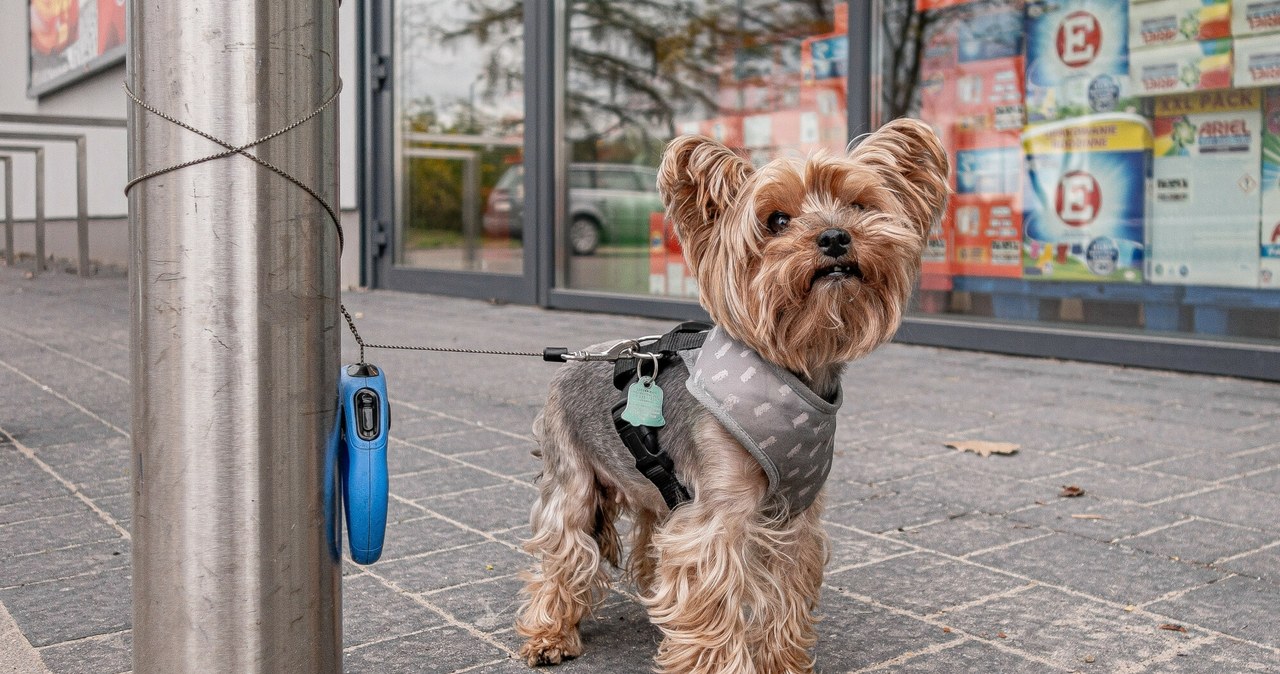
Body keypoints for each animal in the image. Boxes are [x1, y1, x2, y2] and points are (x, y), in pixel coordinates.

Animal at [514, 118, 947, 670]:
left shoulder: (793, 518)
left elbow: (786, 592)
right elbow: (713, 596)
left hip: (656, 488)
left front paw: (783, 662)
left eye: (859, 205)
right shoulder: (717, 515)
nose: (834, 236)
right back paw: (549, 634)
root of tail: (575, 360)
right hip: (572, 474)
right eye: (777, 220)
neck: (791, 371)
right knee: (563, 546)